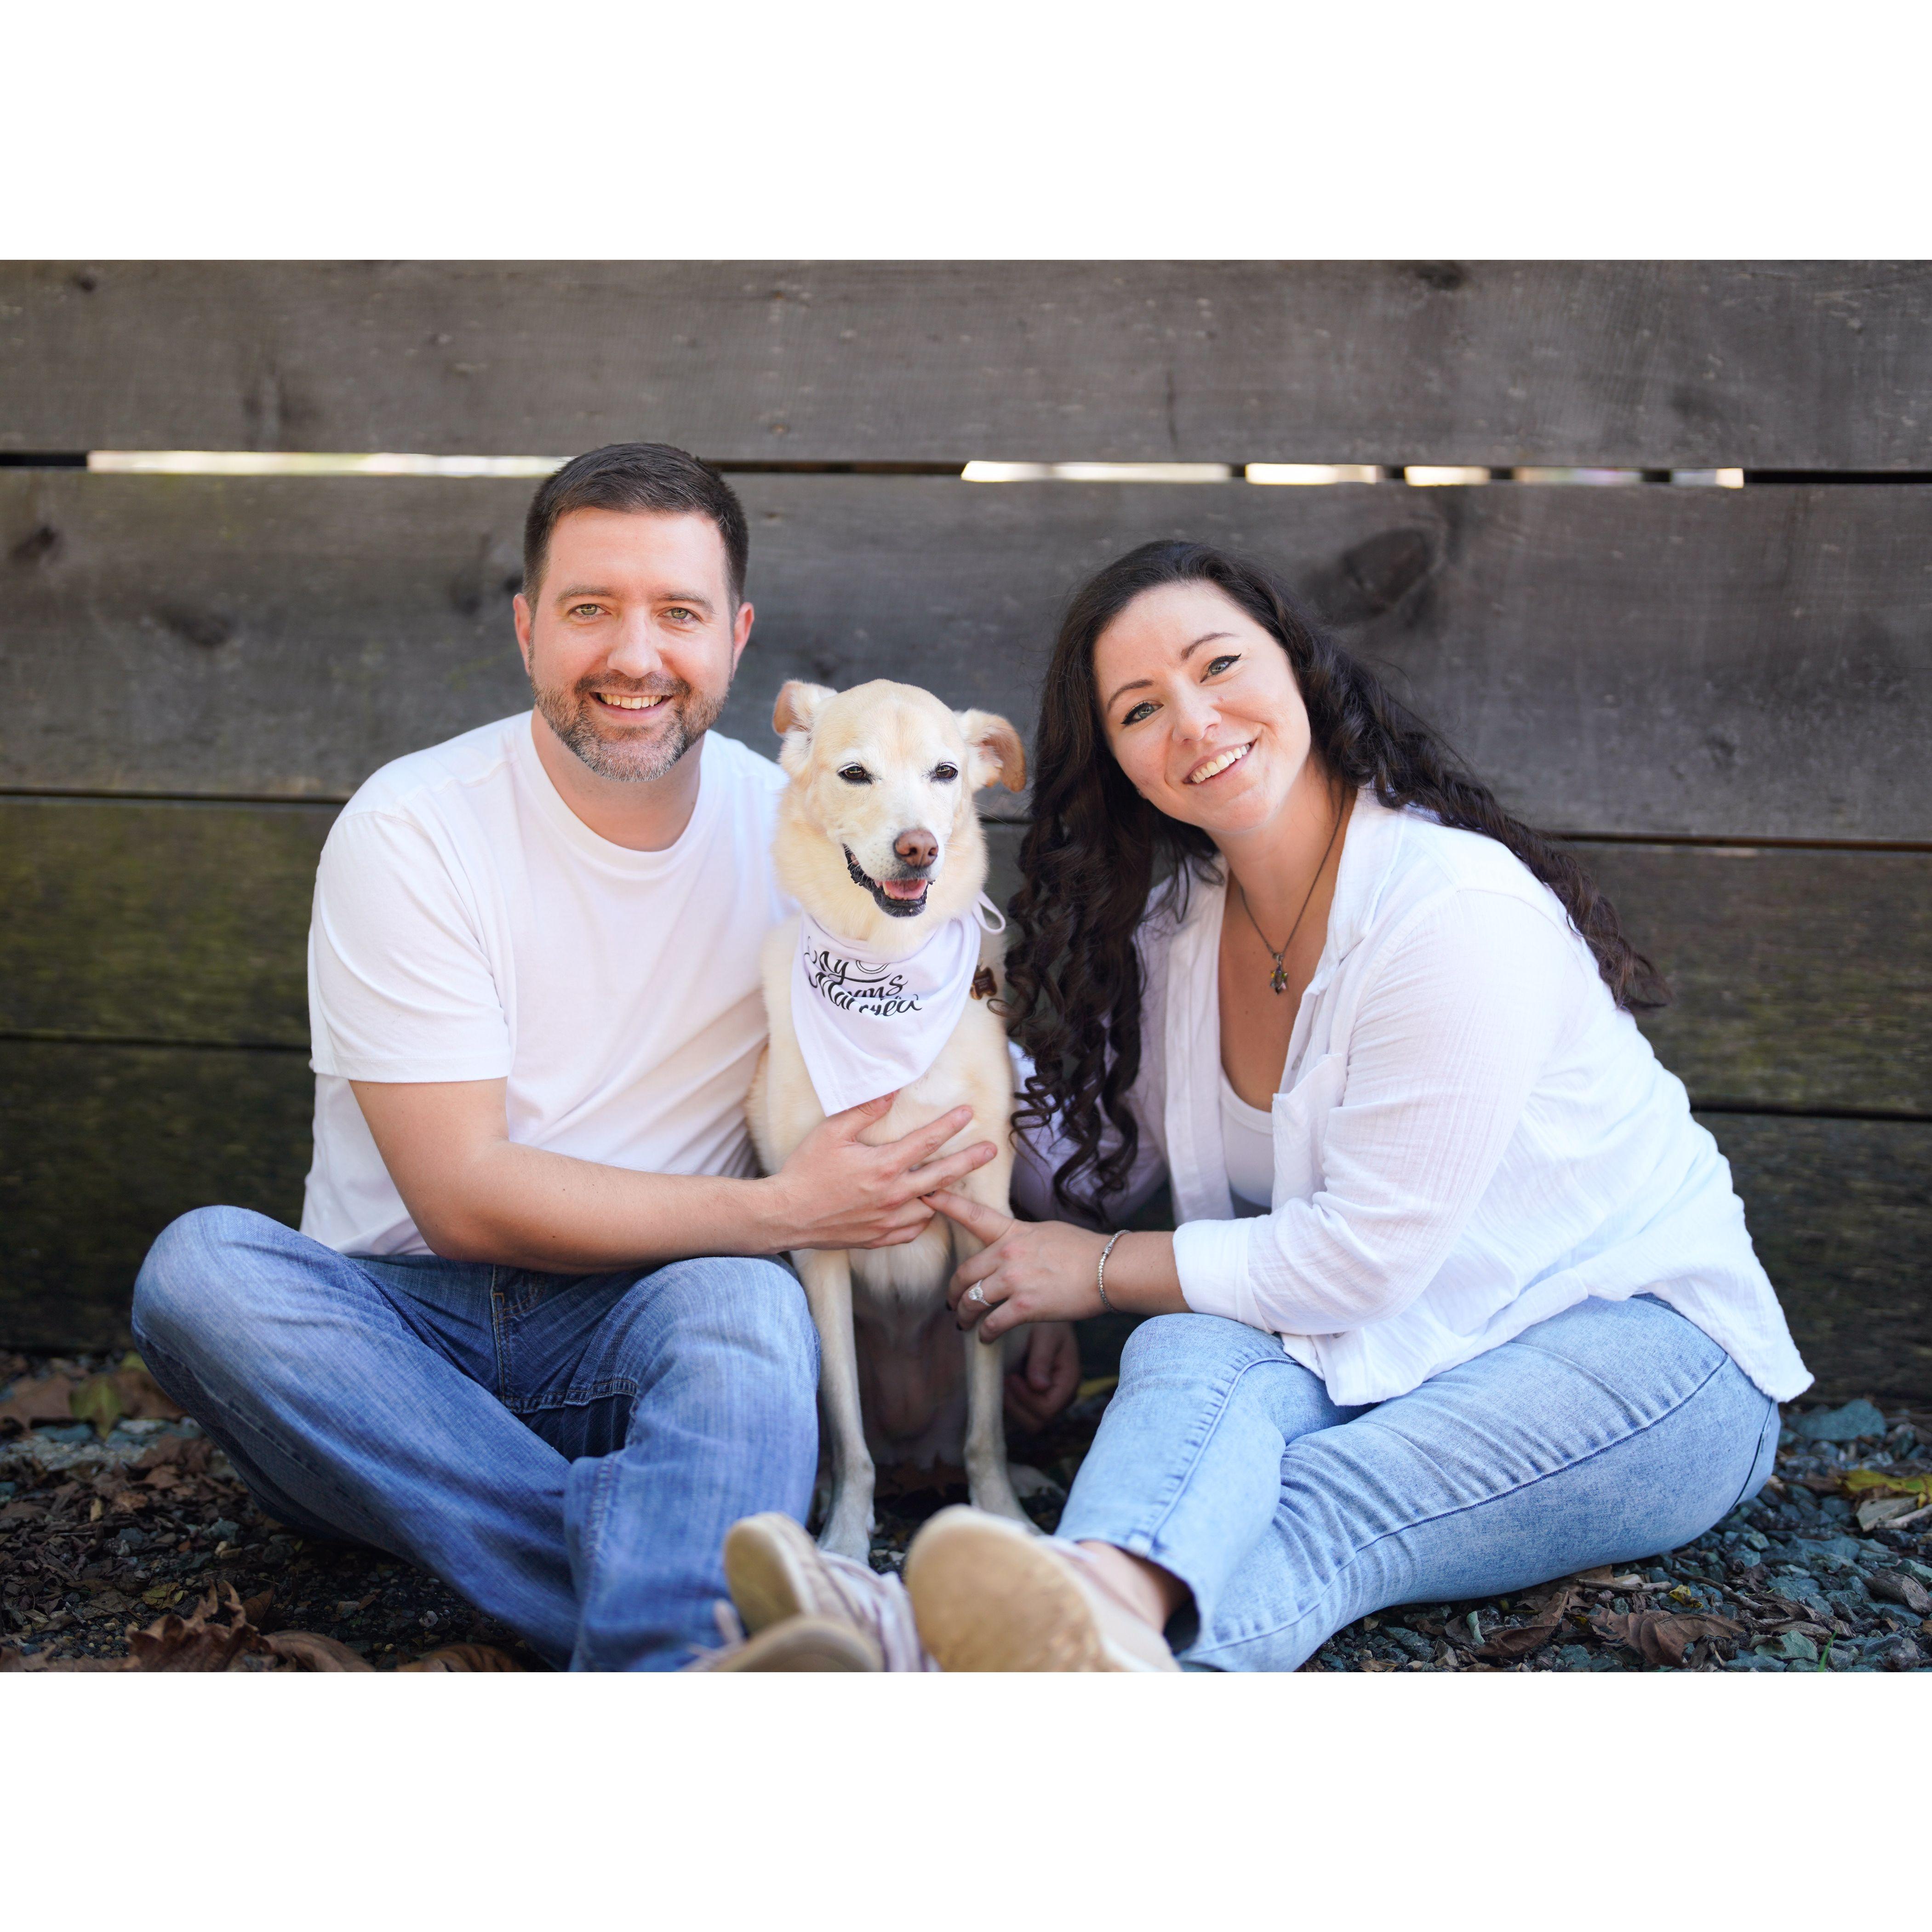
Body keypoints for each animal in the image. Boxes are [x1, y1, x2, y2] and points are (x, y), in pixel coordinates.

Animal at [748, 677, 1031, 1559]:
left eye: (945, 772)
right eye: (854, 773)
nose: (917, 849)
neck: (885, 965)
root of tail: (916, 1453)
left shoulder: (984, 1218)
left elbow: (987, 1430)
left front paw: (1003, 1515)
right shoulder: (818, 1235)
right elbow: (845, 1432)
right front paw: (843, 1537)